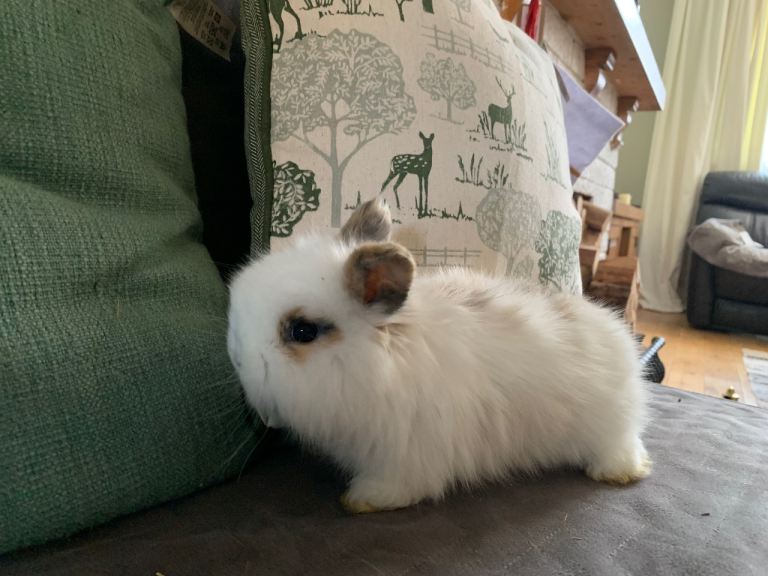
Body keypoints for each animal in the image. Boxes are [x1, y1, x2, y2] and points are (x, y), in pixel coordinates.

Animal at [227, 198, 651, 514]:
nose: (236, 356)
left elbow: (394, 487)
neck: (382, 361)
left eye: (302, 331)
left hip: (610, 428)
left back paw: (619, 473)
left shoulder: (404, 456)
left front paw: (361, 501)